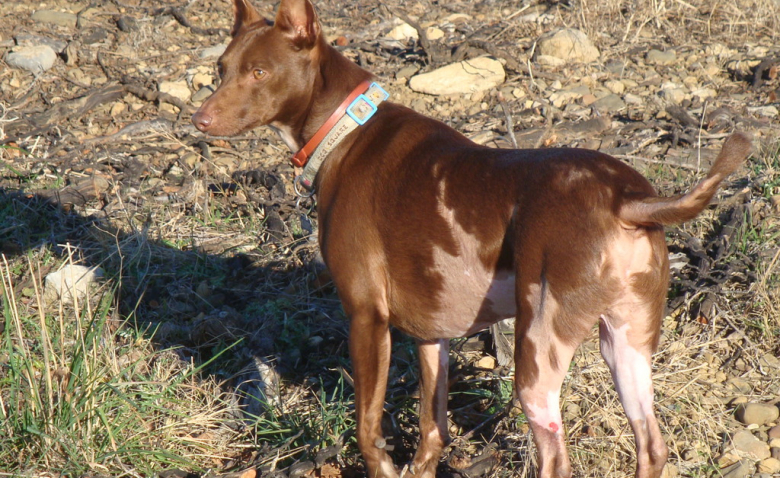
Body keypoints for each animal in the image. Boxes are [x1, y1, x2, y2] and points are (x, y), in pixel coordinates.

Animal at [192, 0, 752, 478]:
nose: (200, 119)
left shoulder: (367, 318)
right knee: (651, 445)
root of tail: (627, 200)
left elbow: (368, 429)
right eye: (221, 68)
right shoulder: (430, 336)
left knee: (556, 459)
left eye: (259, 72)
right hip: (627, 344)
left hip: (537, 355)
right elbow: (432, 430)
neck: (344, 130)